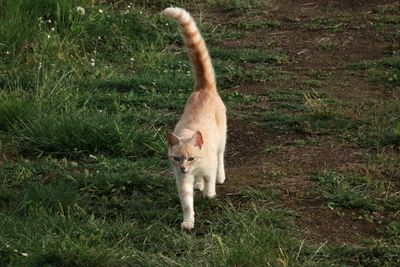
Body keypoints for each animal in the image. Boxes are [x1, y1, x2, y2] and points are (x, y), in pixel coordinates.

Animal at [162, 7, 225, 231]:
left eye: (190, 158)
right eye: (176, 158)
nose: (183, 168)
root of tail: (203, 88)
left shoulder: (207, 167)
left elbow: (209, 180)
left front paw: (210, 194)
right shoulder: (182, 181)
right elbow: (188, 203)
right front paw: (188, 222)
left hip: (222, 141)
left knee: (221, 159)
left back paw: (219, 178)